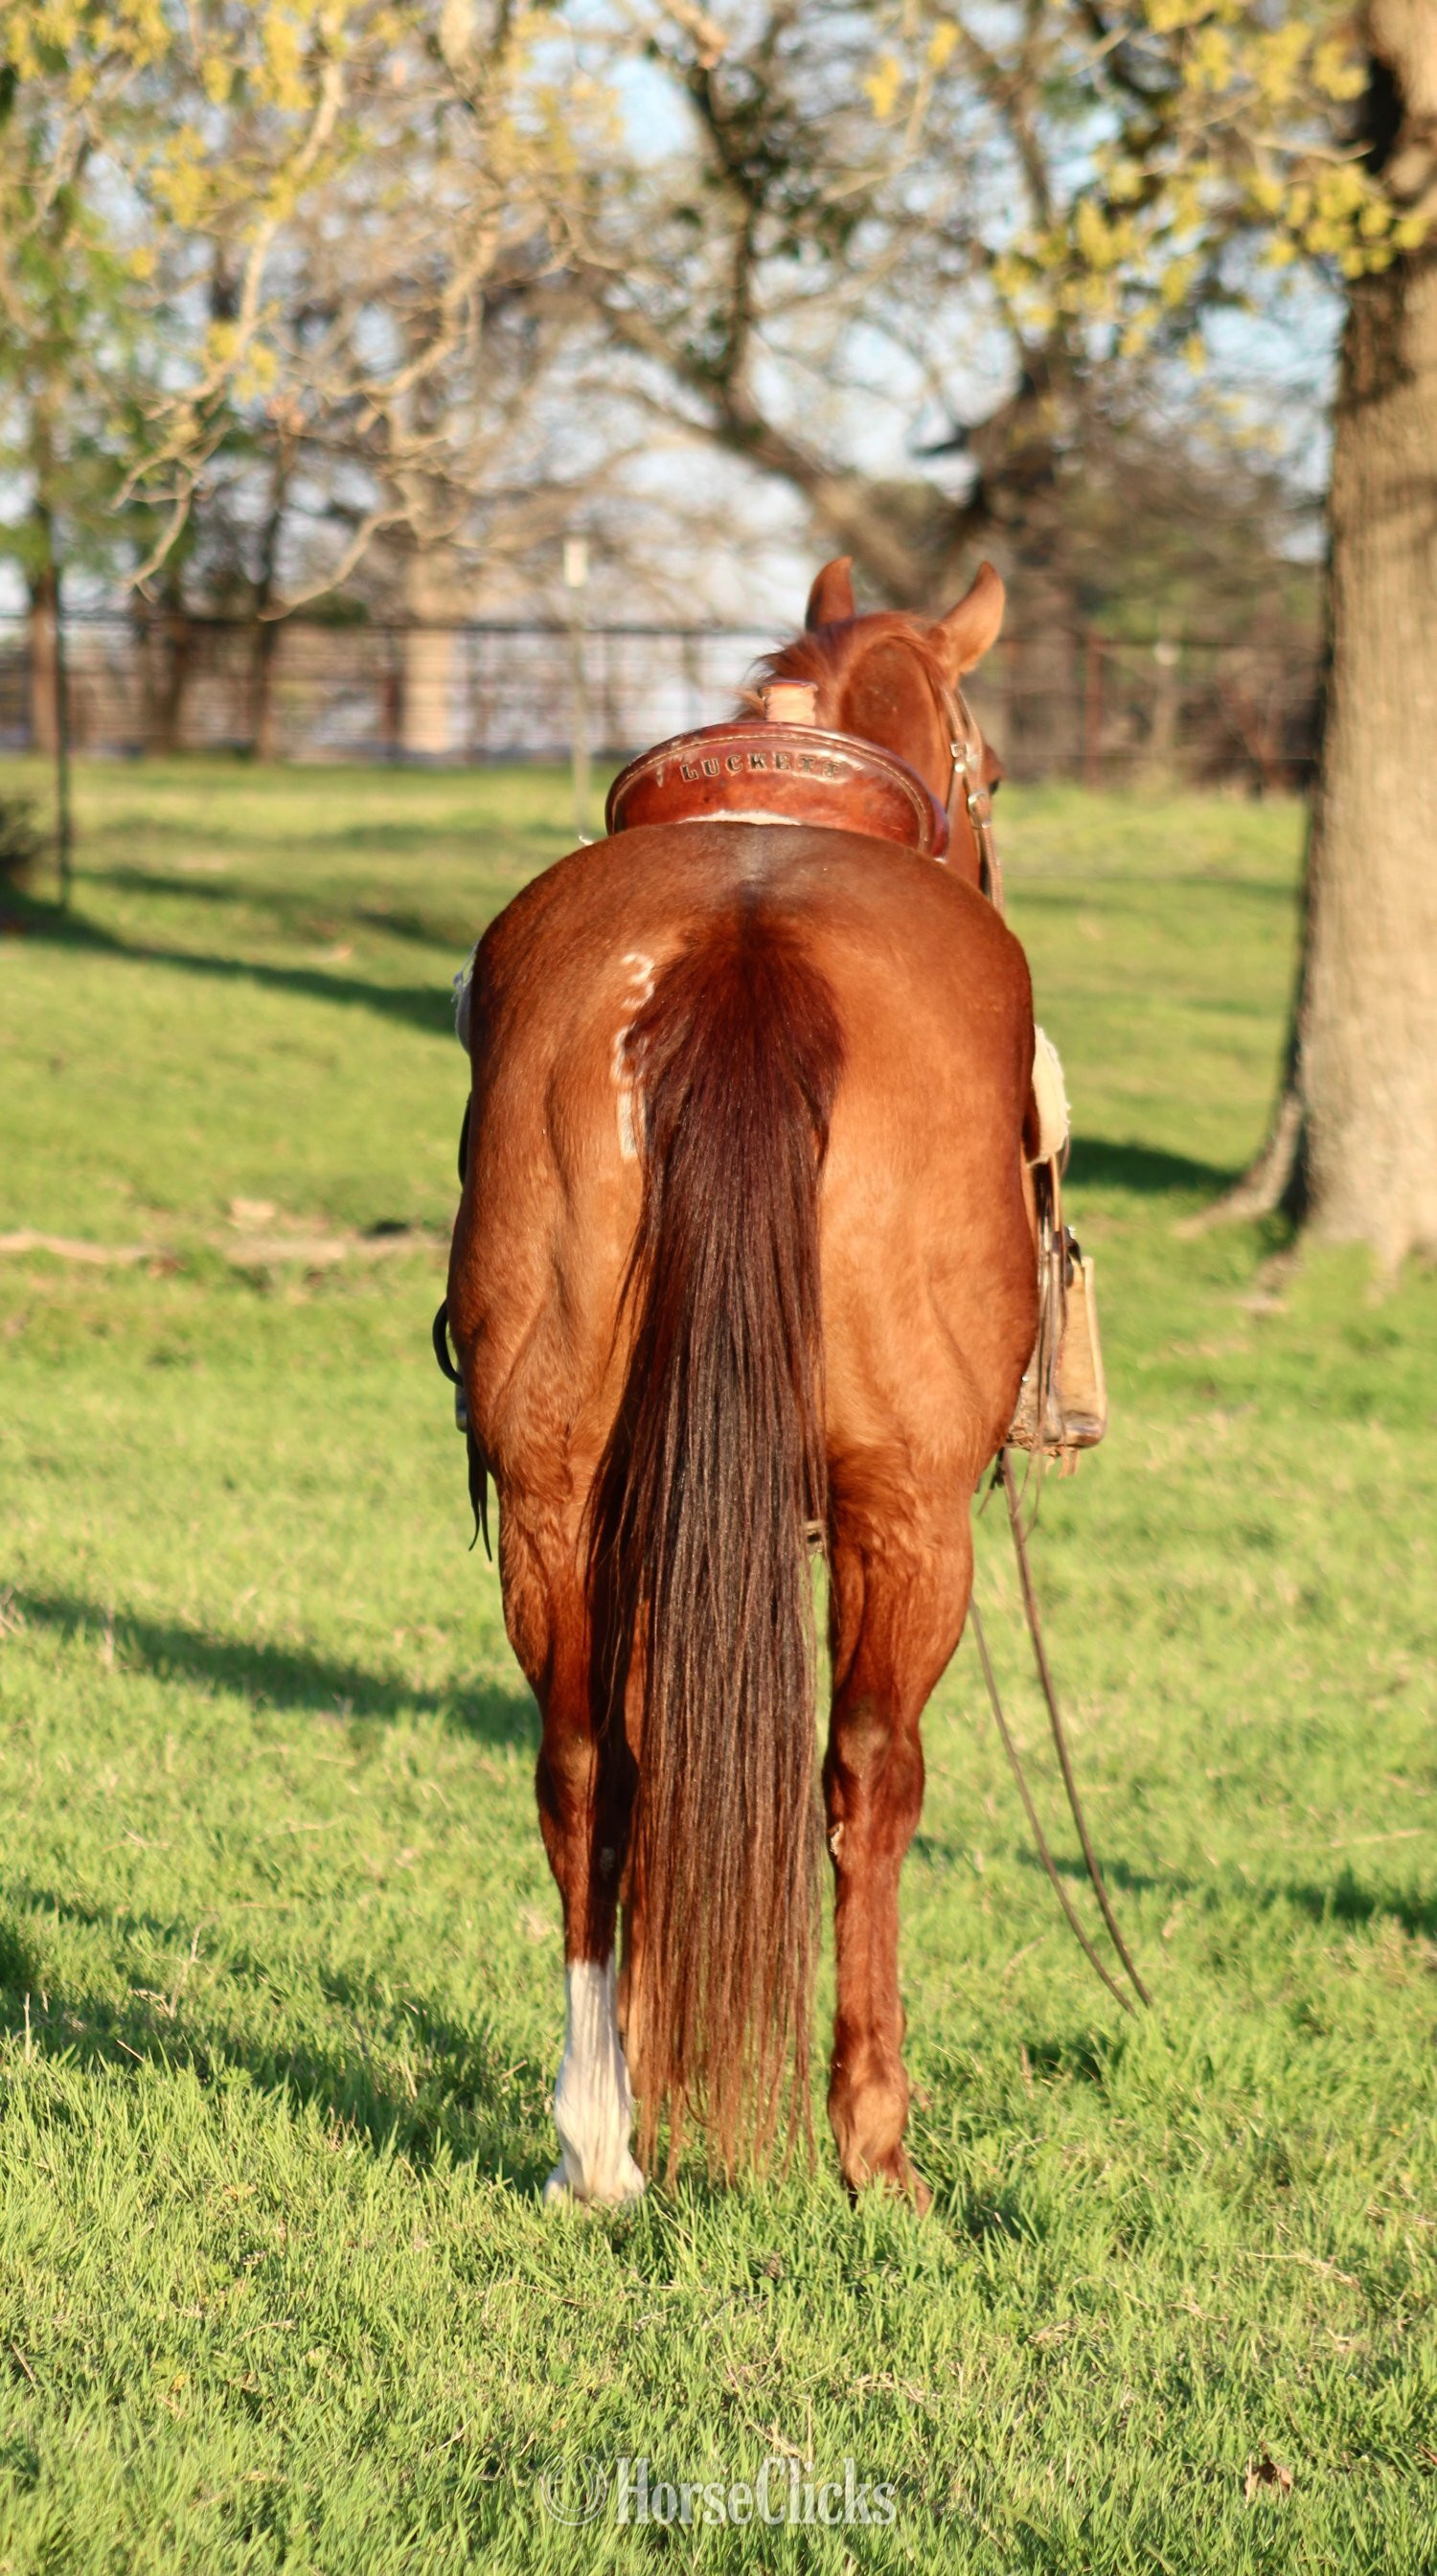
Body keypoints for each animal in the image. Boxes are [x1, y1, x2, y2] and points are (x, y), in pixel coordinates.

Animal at [444, 556, 1039, 2211]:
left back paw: (598, 2139)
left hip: (559, 1495)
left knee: (589, 1765)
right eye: (990, 772)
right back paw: (874, 2147)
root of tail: (743, 945)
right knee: (869, 1778)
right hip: (911, 1518)